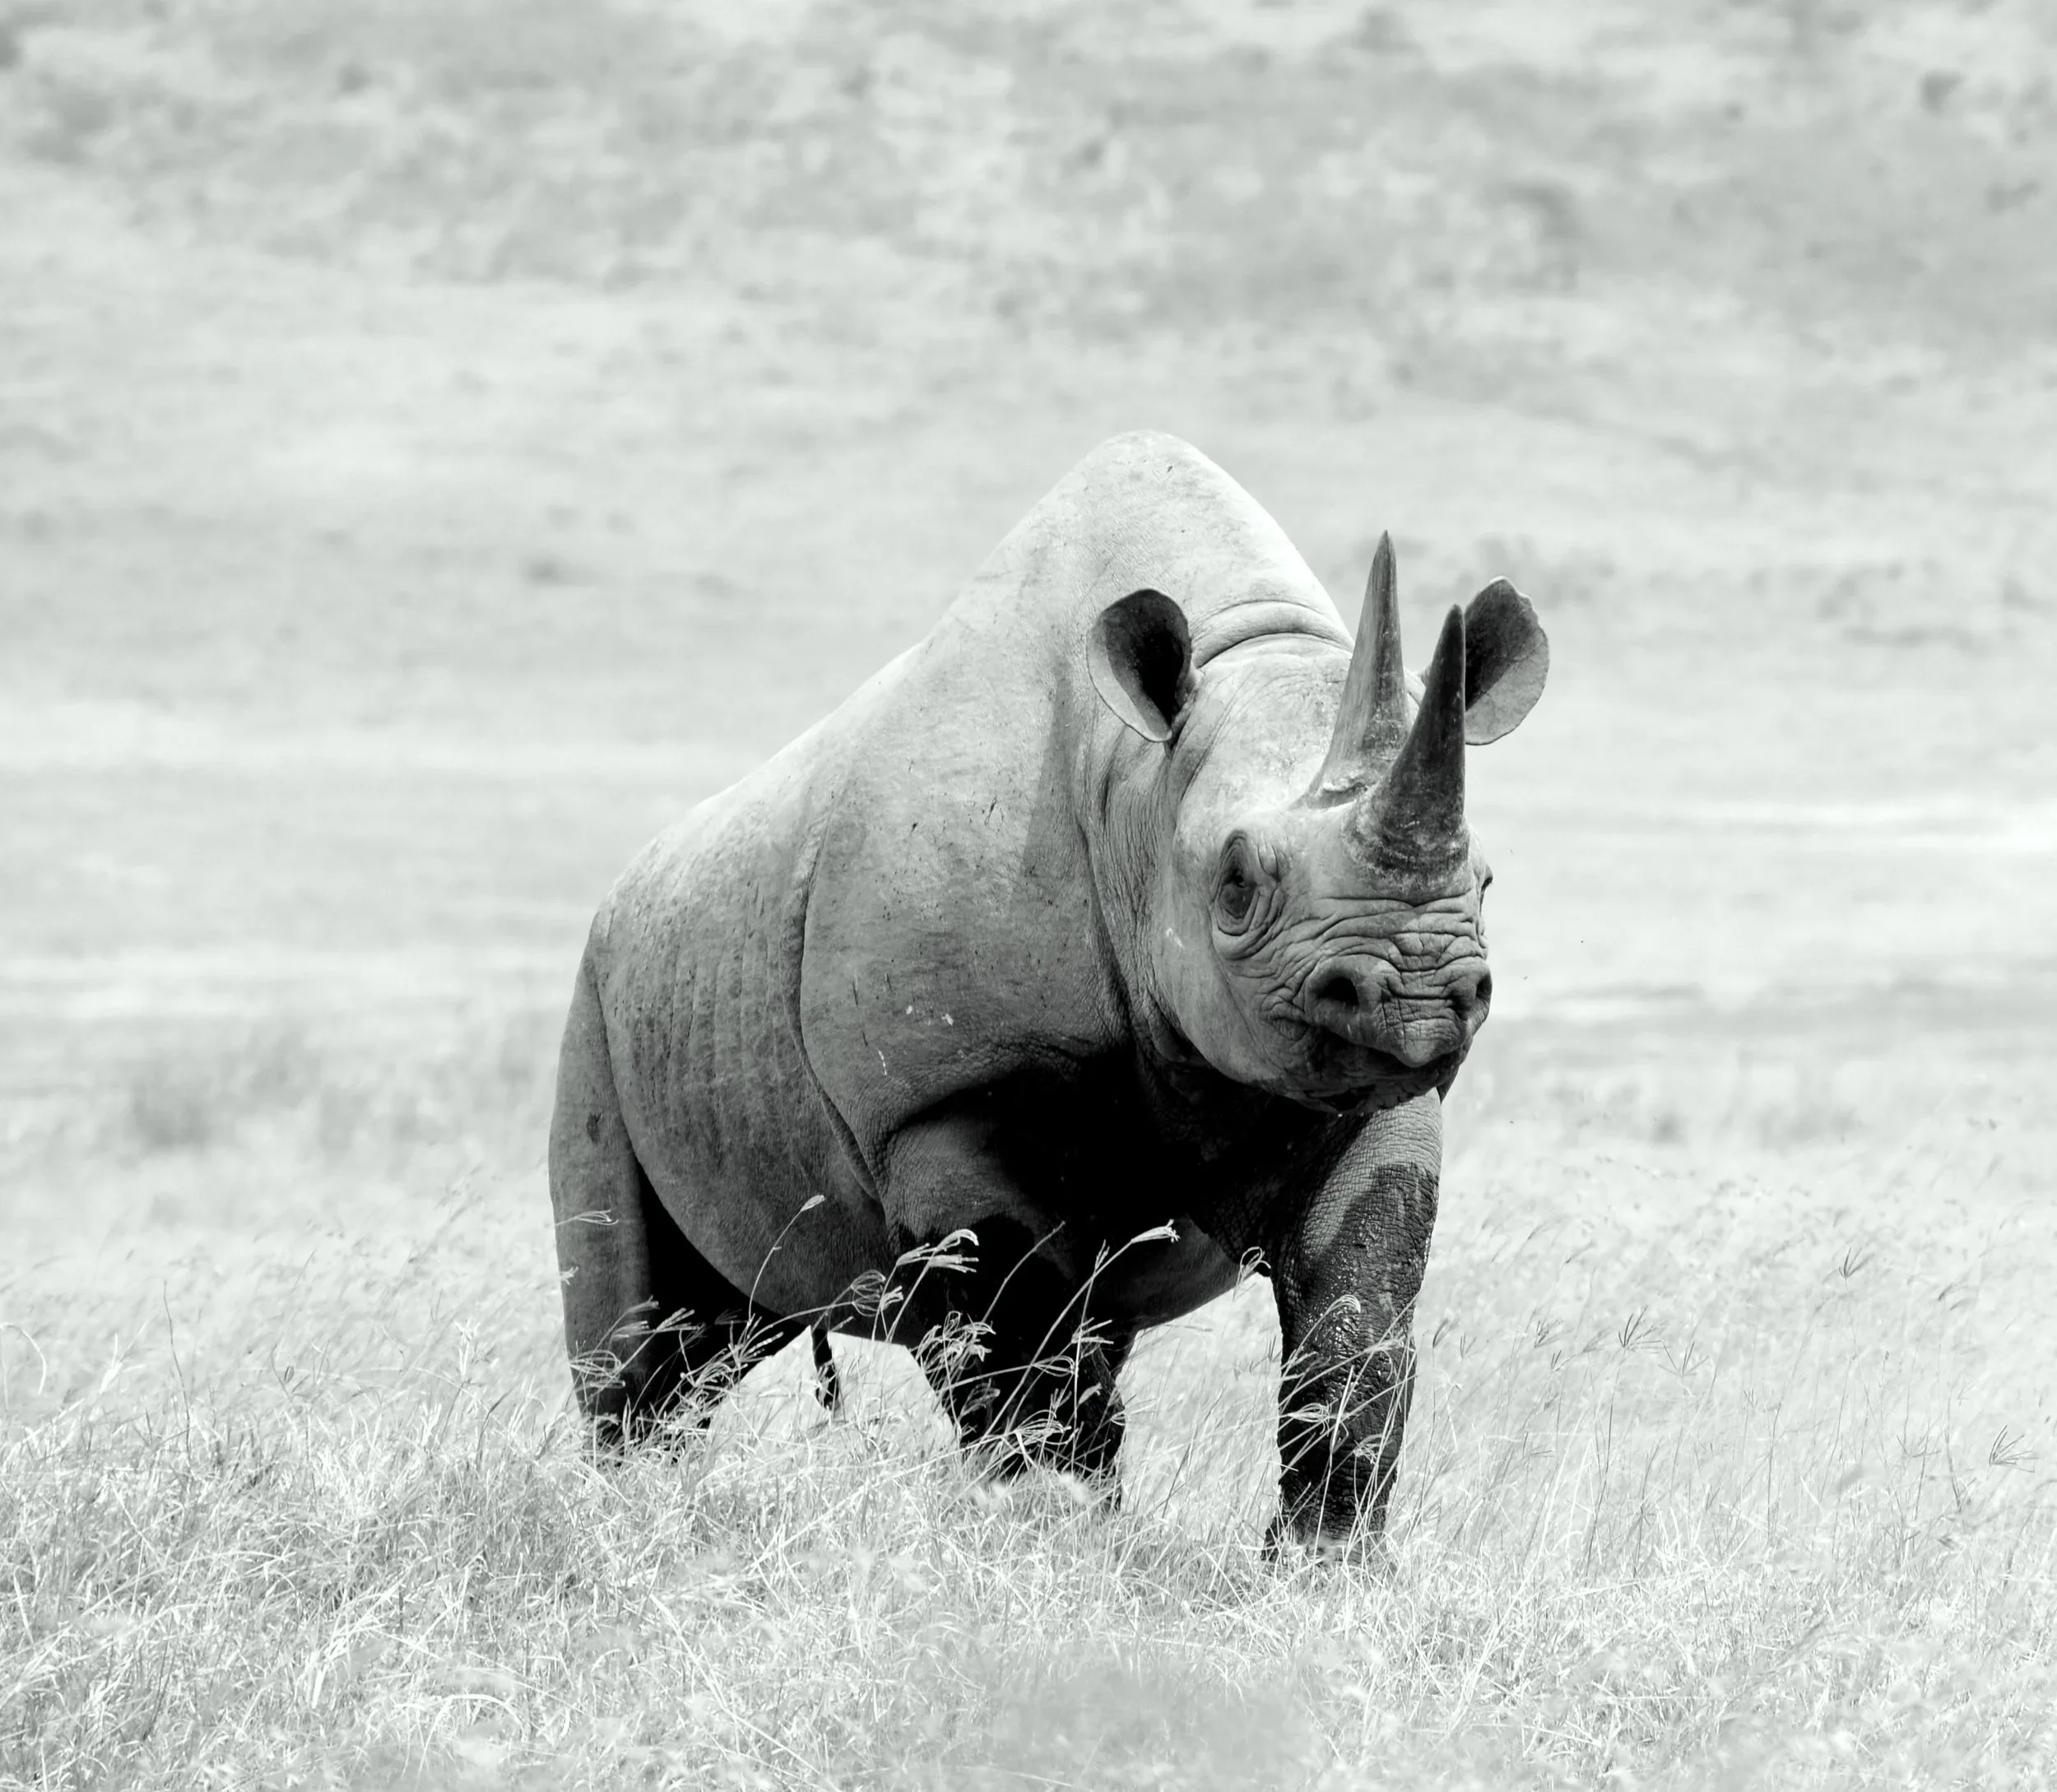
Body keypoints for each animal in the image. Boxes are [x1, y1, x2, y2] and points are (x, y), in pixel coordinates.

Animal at [548, 431, 1547, 1547]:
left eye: (1487, 883)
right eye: (1237, 883)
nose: (1414, 997)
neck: (1140, 787)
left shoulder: (1366, 1095)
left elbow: (1354, 1329)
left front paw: (1323, 1563)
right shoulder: (940, 1102)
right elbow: (1018, 1346)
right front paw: (1050, 1534)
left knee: (732, 1333)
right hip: (599, 988)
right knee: (642, 1346)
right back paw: (623, 1514)